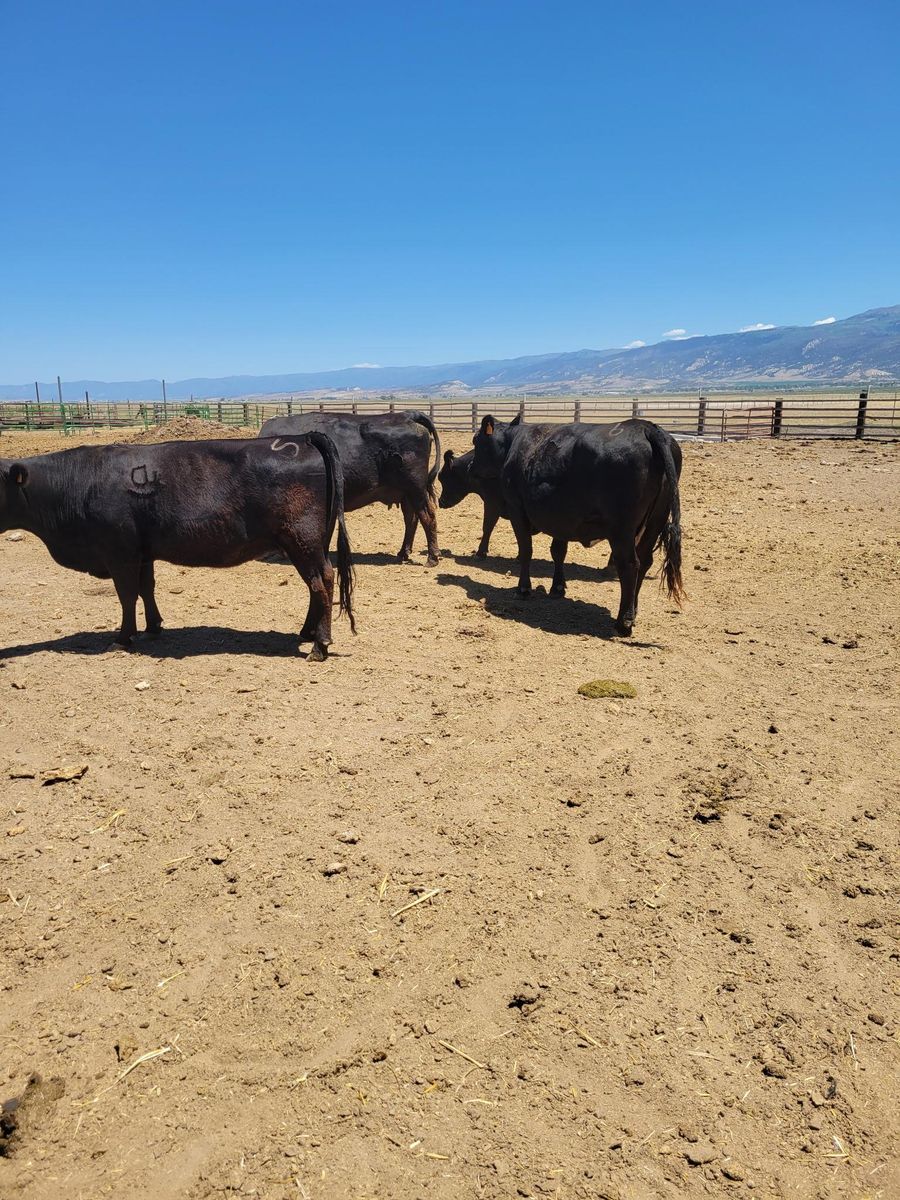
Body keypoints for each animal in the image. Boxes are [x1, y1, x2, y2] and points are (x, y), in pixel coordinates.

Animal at [0, 434, 355, 661]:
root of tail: (304, 438)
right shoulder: (143, 552)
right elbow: (147, 588)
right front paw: (153, 627)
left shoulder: (119, 553)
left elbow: (127, 595)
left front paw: (123, 639)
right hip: (309, 543)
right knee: (315, 585)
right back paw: (307, 632)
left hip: (302, 540)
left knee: (321, 581)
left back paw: (320, 645)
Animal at [258, 410, 441, 565]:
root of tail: (407, 415)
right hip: (405, 493)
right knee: (411, 519)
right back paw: (403, 553)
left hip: (415, 489)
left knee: (428, 517)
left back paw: (432, 557)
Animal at [470, 414, 683, 636]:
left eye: (476, 440)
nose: (470, 467)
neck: (513, 444)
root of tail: (646, 427)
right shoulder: (560, 517)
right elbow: (558, 552)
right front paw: (557, 588)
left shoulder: (516, 508)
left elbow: (526, 550)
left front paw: (523, 589)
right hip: (655, 522)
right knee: (645, 562)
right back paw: (633, 610)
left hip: (622, 529)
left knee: (630, 564)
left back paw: (623, 621)